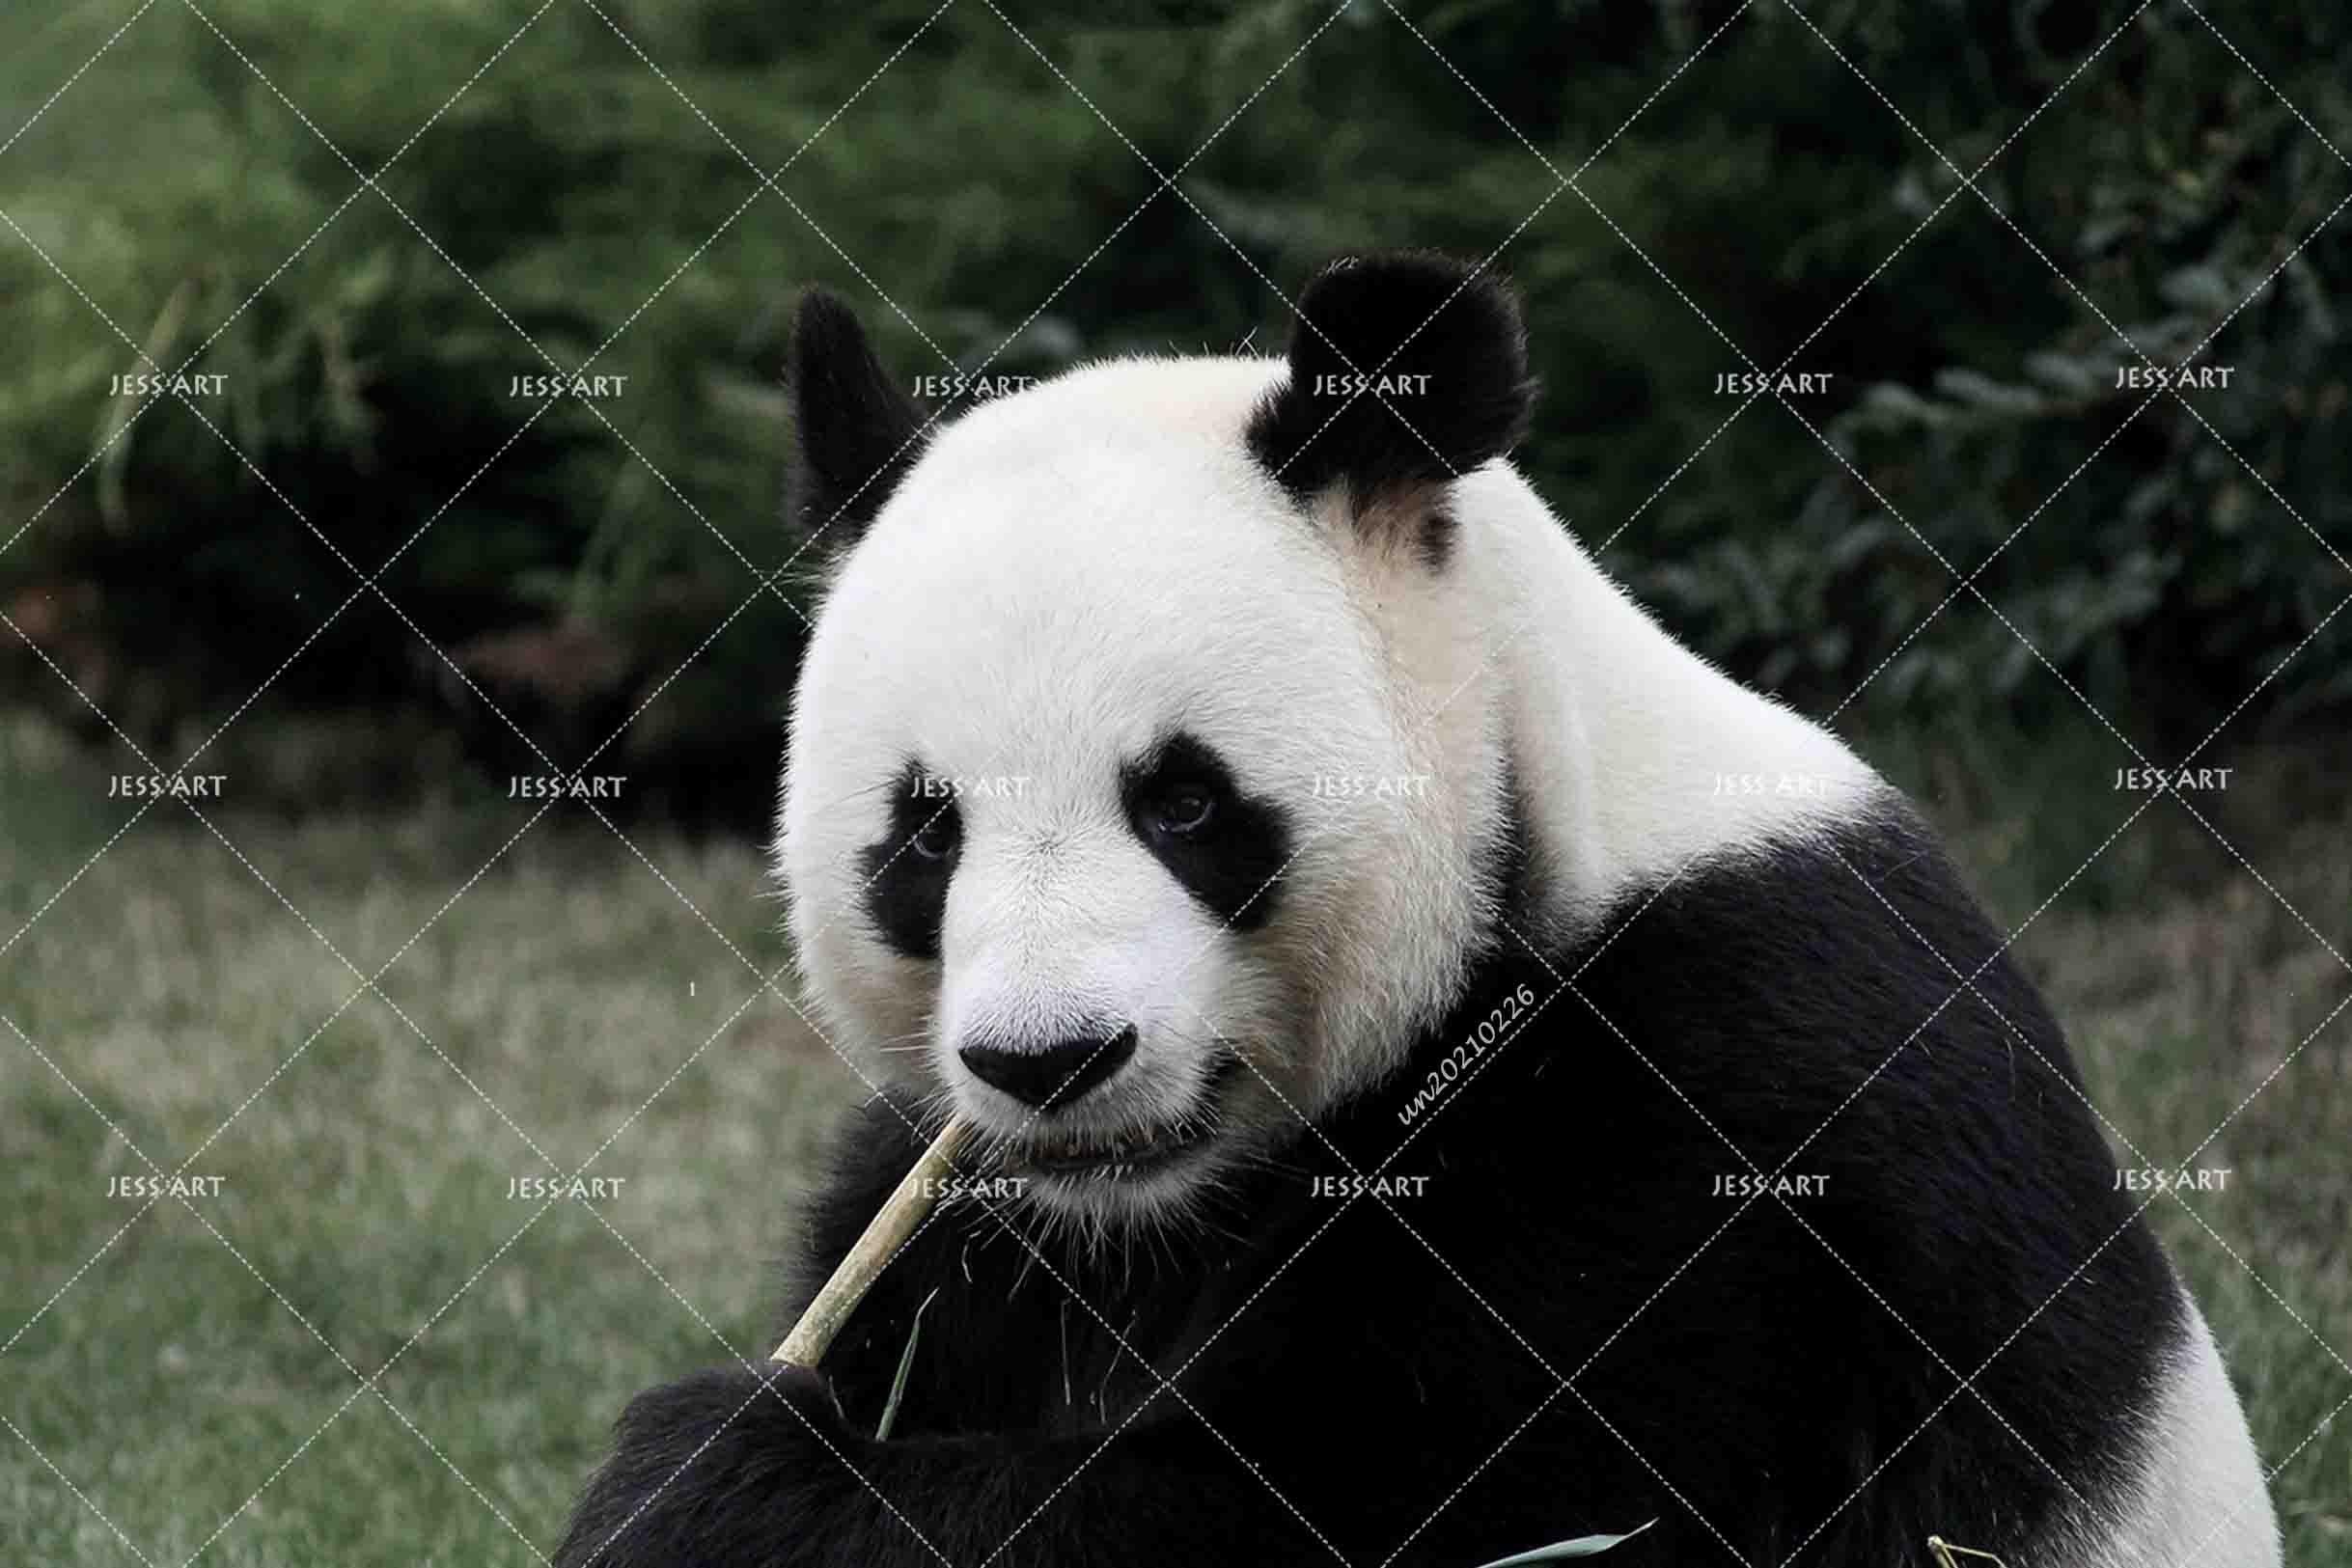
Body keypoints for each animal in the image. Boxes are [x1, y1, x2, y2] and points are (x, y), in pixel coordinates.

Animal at [554, 253, 2278, 1568]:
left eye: (1185, 803)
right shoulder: (974, 1209)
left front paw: (718, 1482)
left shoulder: (1723, 1119)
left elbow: (1449, 1508)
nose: (1051, 1061)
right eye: (925, 833)